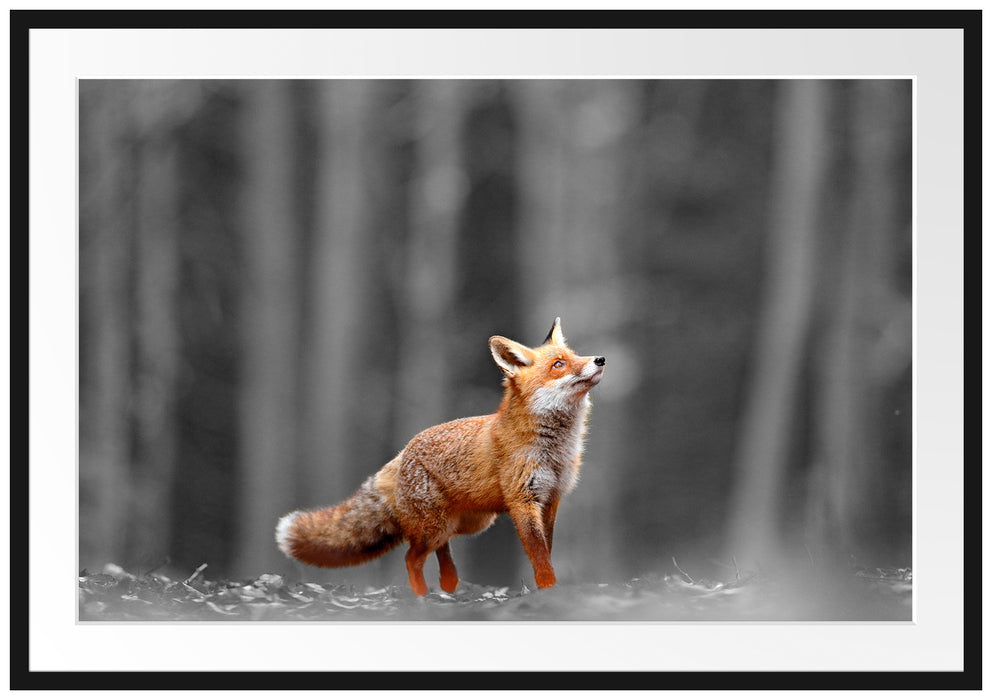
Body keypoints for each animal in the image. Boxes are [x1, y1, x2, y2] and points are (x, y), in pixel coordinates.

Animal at [276, 318, 608, 596]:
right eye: (558, 364)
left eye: (575, 355)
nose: (600, 359)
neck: (554, 450)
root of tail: (402, 452)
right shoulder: (522, 501)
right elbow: (538, 554)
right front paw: (548, 589)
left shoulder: (551, 499)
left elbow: (546, 550)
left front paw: (547, 588)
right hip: (436, 526)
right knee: (411, 558)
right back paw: (422, 597)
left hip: (467, 523)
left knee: (441, 552)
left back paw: (449, 586)